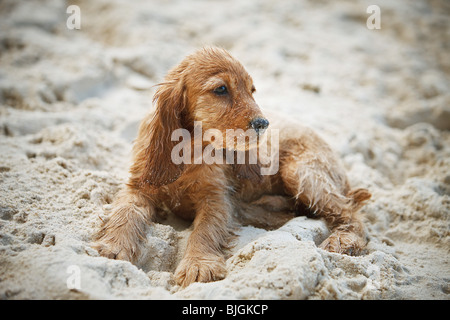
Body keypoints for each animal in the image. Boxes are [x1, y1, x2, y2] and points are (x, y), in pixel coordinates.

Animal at [93, 47, 370, 288]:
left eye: (252, 90)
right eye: (221, 89)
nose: (263, 123)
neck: (191, 148)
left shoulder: (216, 197)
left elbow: (204, 229)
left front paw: (198, 264)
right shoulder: (140, 186)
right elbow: (125, 213)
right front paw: (114, 246)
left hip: (300, 172)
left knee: (350, 212)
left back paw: (343, 240)